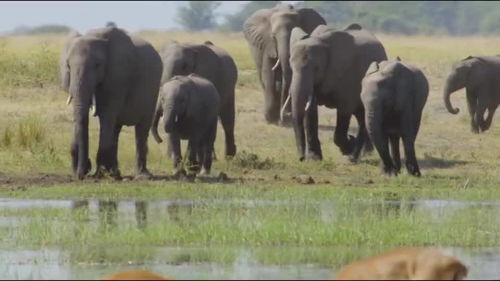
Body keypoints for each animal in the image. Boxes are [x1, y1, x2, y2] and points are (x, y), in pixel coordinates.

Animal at [60, 26, 162, 179]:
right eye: (68, 66)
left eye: (97, 65)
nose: (82, 172)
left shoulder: (118, 78)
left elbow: (107, 115)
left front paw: (99, 174)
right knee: (116, 129)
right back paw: (115, 173)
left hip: (152, 92)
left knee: (141, 129)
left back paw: (141, 175)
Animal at [288, 24, 388, 162]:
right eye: (291, 67)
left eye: (316, 68)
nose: (301, 158)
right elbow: (311, 113)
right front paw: (314, 159)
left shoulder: (347, 74)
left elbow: (344, 110)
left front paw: (349, 144)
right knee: (360, 115)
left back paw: (353, 157)